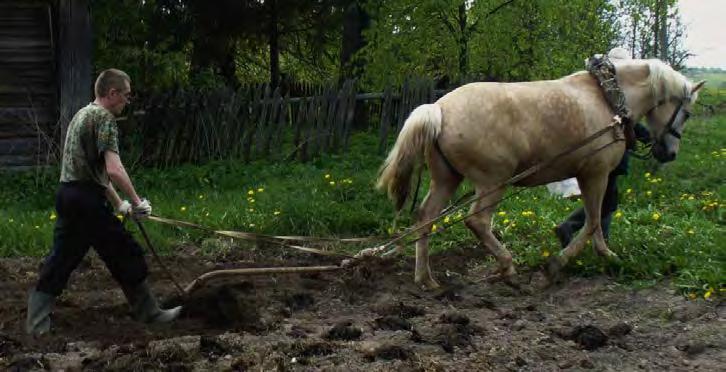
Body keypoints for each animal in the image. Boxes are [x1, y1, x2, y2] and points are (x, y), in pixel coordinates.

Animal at [378, 55, 708, 290]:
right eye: (687, 112)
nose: (669, 153)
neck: (606, 99)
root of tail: (437, 108)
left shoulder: (591, 176)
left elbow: (597, 221)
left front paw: (608, 256)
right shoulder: (596, 174)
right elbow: (592, 222)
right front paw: (557, 265)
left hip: (447, 179)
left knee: (425, 217)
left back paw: (426, 279)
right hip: (493, 182)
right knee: (477, 221)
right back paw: (507, 267)